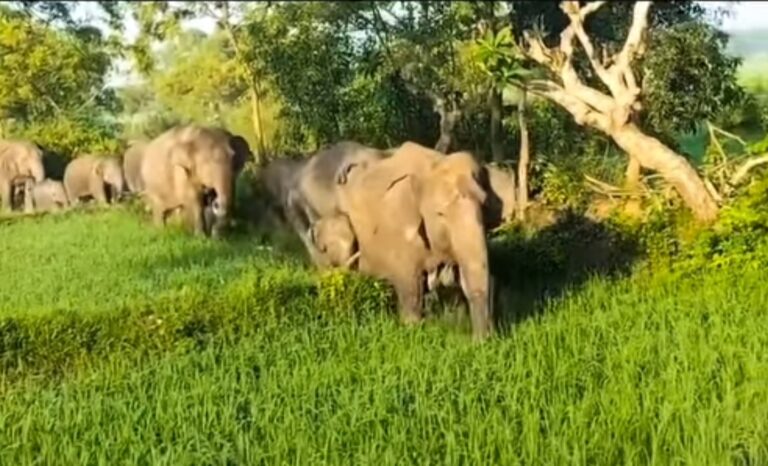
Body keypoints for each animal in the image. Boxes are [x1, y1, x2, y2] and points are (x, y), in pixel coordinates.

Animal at [335, 141, 493, 340]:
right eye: (440, 214)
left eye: (484, 205)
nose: (481, 341)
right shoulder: (397, 225)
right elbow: (411, 284)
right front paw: (412, 330)